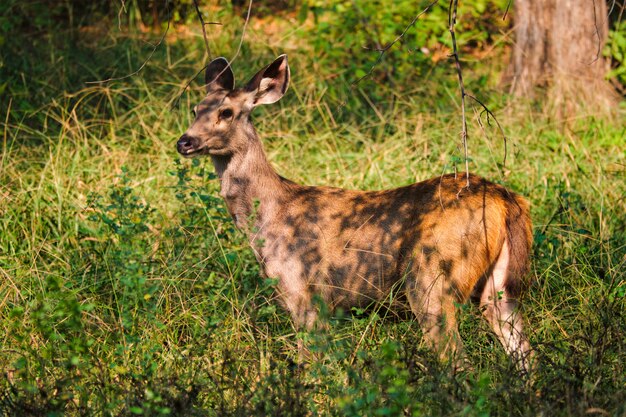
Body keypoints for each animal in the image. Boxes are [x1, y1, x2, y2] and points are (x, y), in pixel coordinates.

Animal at [176, 54, 532, 370]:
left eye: (227, 112)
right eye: (195, 109)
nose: (184, 141)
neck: (267, 217)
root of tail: (505, 200)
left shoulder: (306, 295)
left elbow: (311, 368)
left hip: (431, 279)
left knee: (460, 361)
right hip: (497, 289)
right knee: (523, 352)